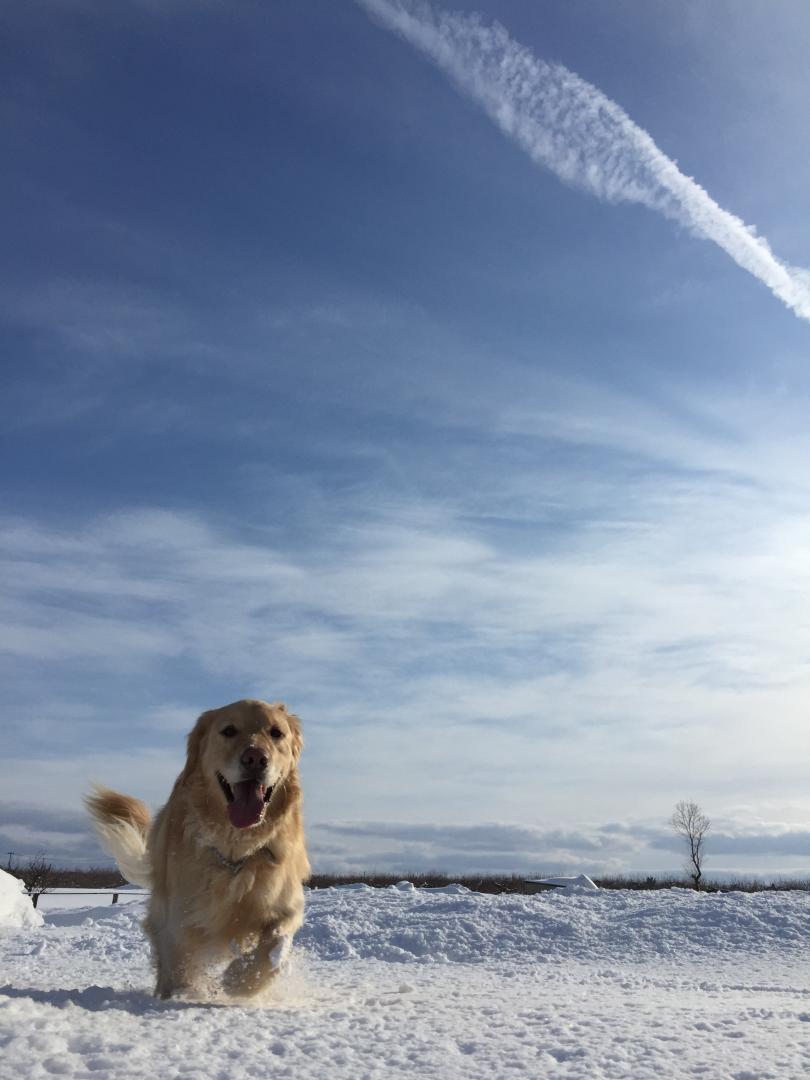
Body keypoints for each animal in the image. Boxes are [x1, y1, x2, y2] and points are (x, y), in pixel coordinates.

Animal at [84, 699, 306, 993]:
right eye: (229, 731)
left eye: (276, 733)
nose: (255, 758)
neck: (235, 853)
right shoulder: (179, 919)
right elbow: (178, 965)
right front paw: (180, 993)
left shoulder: (286, 901)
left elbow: (275, 944)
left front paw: (240, 980)